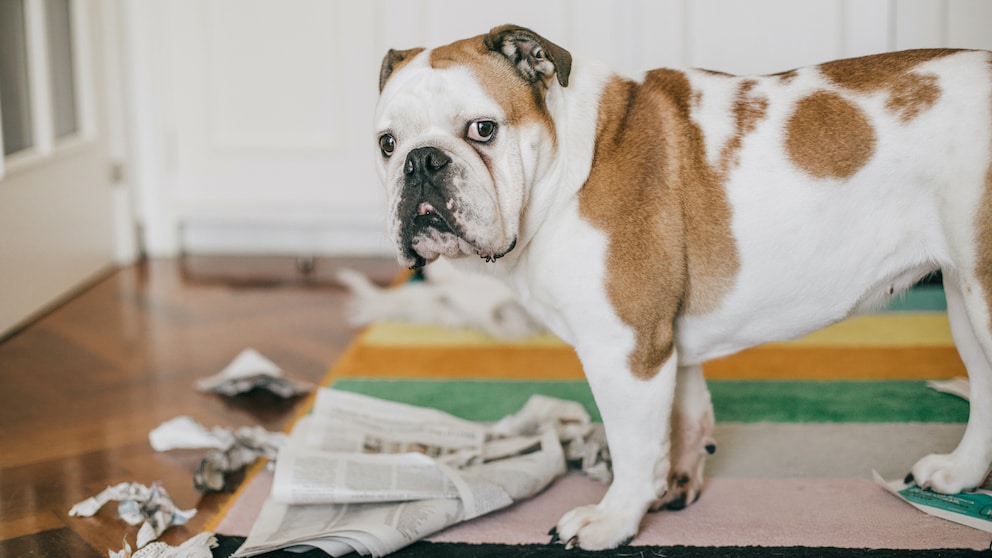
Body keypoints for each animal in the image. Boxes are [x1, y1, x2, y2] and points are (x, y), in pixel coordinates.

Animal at [374, 26, 992, 552]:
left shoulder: (624, 348)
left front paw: (614, 519)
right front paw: (674, 483)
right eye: (386, 143)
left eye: (483, 129)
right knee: (984, 389)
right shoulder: (663, 343)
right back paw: (958, 473)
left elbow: (632, 444)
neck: (570, 165)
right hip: (964, 300)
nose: (421, 161)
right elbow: (682, 415)